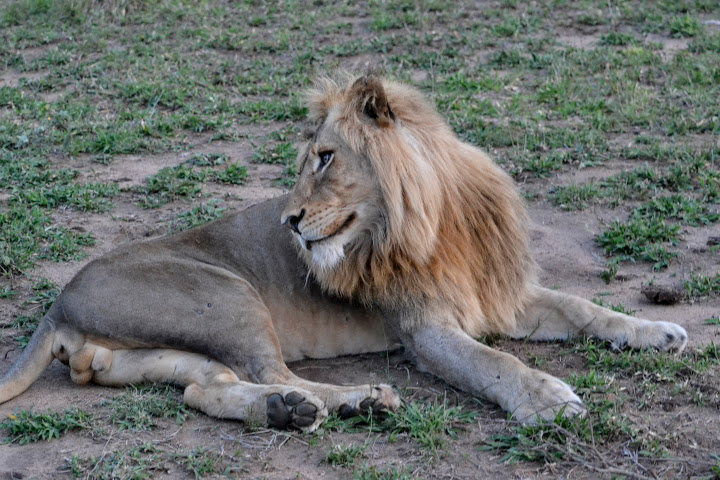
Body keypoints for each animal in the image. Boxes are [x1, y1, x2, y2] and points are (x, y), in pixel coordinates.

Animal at [0, 72, 688, 432]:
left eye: (327, 158)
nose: (288, 220)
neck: (439, 218)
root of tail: (58, 304)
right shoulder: (423, 329)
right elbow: (495, 363)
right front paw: (547, 400)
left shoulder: (497, 295)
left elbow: (584, 308)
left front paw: (657, 332)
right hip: (226, 295)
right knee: (268, 370)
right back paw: (358, 400)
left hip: (155, 349)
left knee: (208, 388)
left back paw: (287, 410)